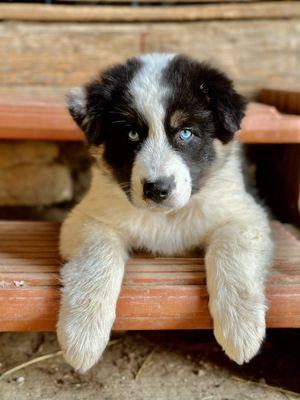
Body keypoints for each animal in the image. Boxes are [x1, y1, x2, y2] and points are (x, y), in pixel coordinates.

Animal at [56, 52, 274, 372]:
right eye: (132, 133)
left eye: (185, 133)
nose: (157, 189)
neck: (165, 217)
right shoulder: (88, 218)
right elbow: (97, 259)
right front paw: (82, 336)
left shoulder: (244, 216)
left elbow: (232, 254)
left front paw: (241, 330)